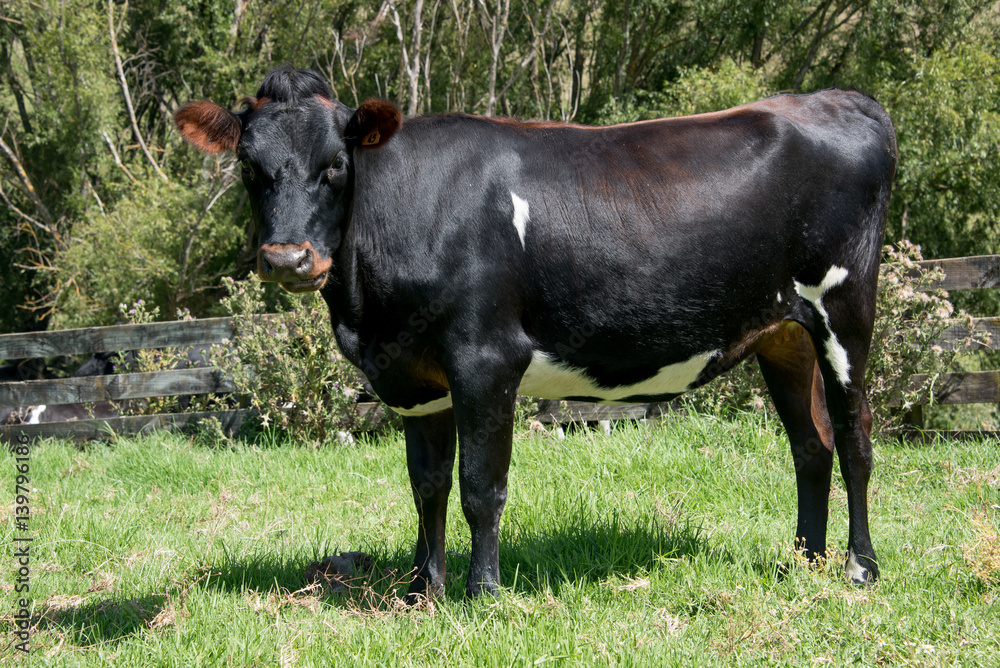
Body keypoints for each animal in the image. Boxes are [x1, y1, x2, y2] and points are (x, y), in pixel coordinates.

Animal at [176, 66, 904, 600]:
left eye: (334, 164)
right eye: (249, 167)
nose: (287, 259)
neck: (369, 317)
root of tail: (839, 99)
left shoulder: (486, 358)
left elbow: (481, 486)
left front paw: (483, 593)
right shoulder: (417, 376)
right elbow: (427, 486)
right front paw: (421, 591)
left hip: (843, 309)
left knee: (854, 437)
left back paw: (859, 568)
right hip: (783, 330)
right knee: (810, 447)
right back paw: (803, 561)